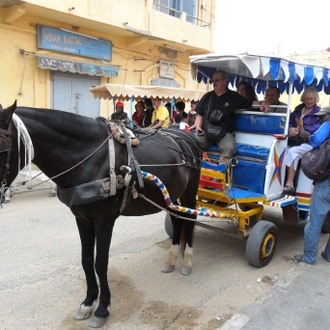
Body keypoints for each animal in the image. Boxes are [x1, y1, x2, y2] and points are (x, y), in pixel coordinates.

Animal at [0, 102, 201, 328]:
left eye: (3, 149)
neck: (87, 158)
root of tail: (186, 136)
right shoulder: (82, 219)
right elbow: (87, 260)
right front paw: (88, 302)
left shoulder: (104, 221)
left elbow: (100, 263)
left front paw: (102, 308)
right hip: (171, 195)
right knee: (177, 219)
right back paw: (172, 258)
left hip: (189, 192)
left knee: (190, 219)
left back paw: (187, 261)